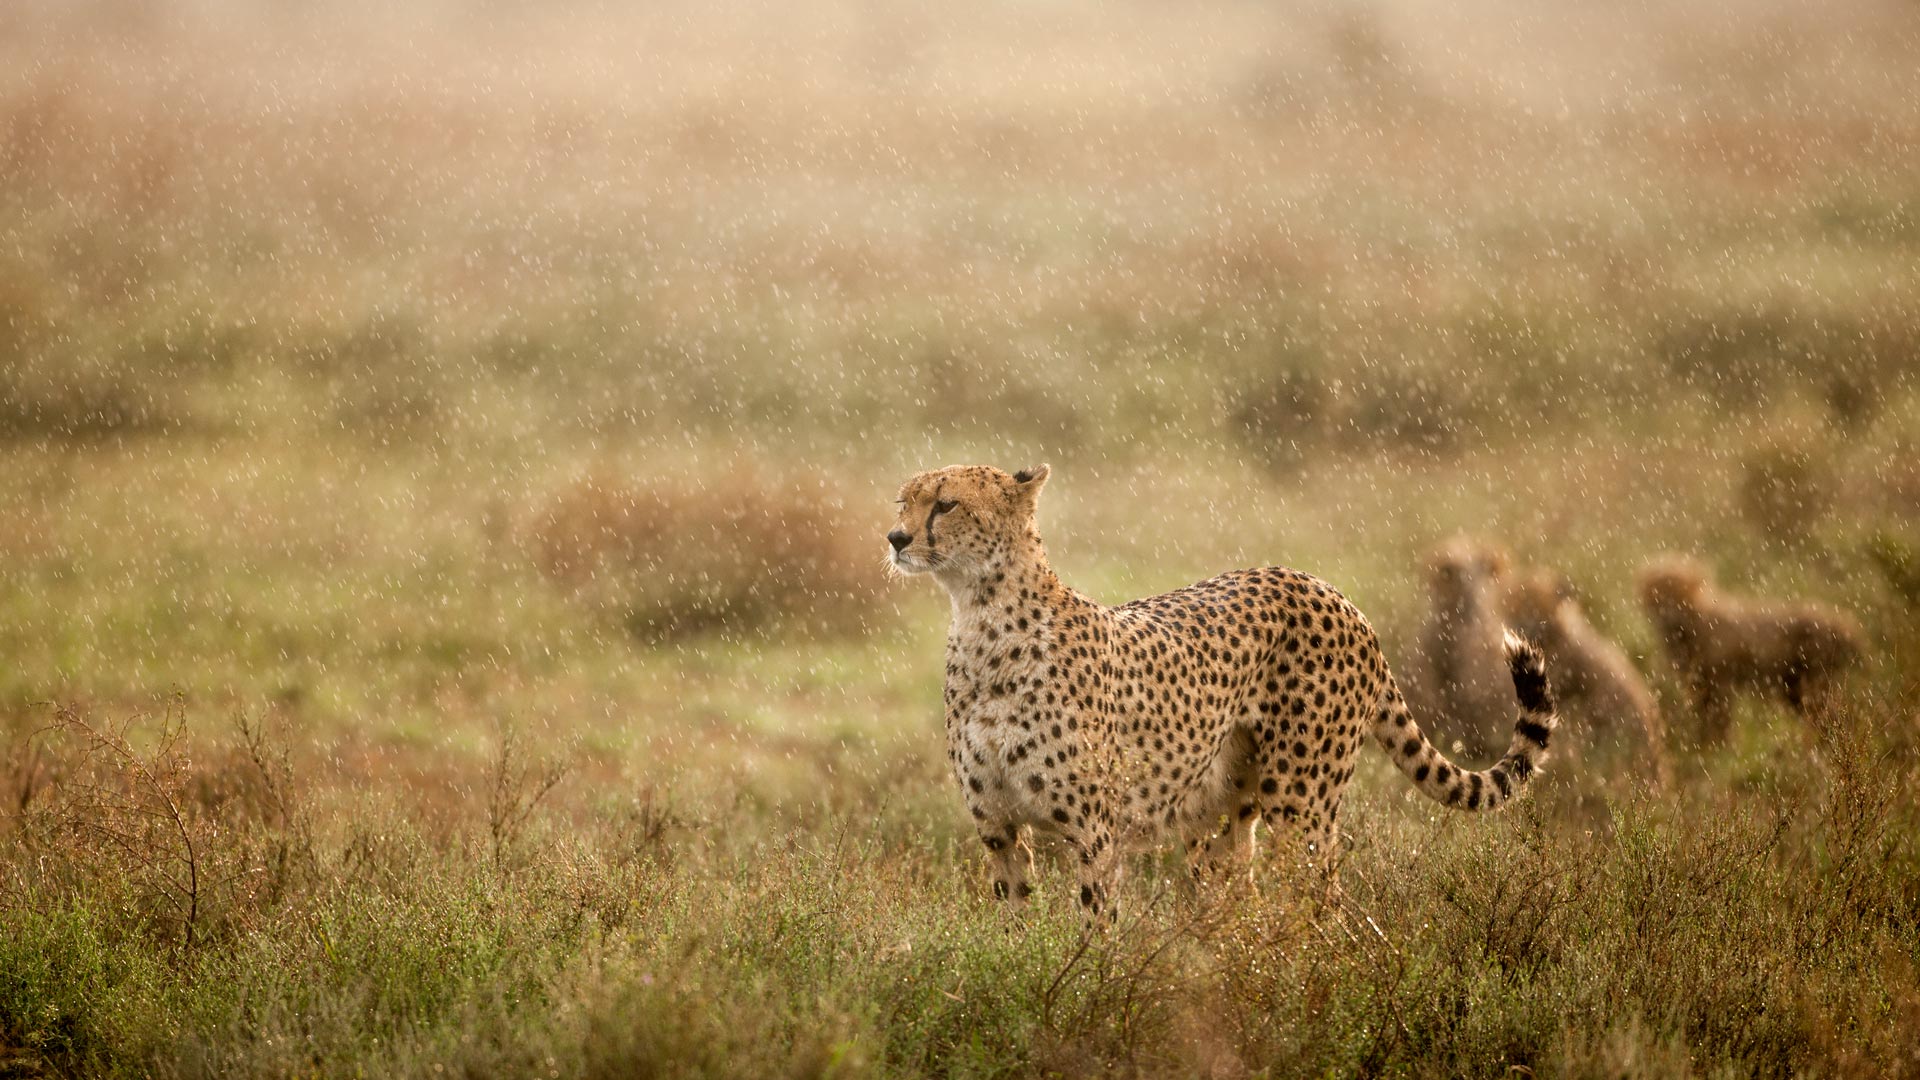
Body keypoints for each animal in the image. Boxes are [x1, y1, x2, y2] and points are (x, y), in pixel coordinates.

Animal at [886, 464, 1558, 919]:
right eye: (904, 500)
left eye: (945, 504)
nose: (895, 538)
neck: (981, 618)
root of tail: (1330, 590)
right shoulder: (998, 829)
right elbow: (1014, 924)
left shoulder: (1096, 832)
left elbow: (1095, 928)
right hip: (1217, 818)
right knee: (1242, 903)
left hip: (1300, 800)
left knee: (1324, 905)